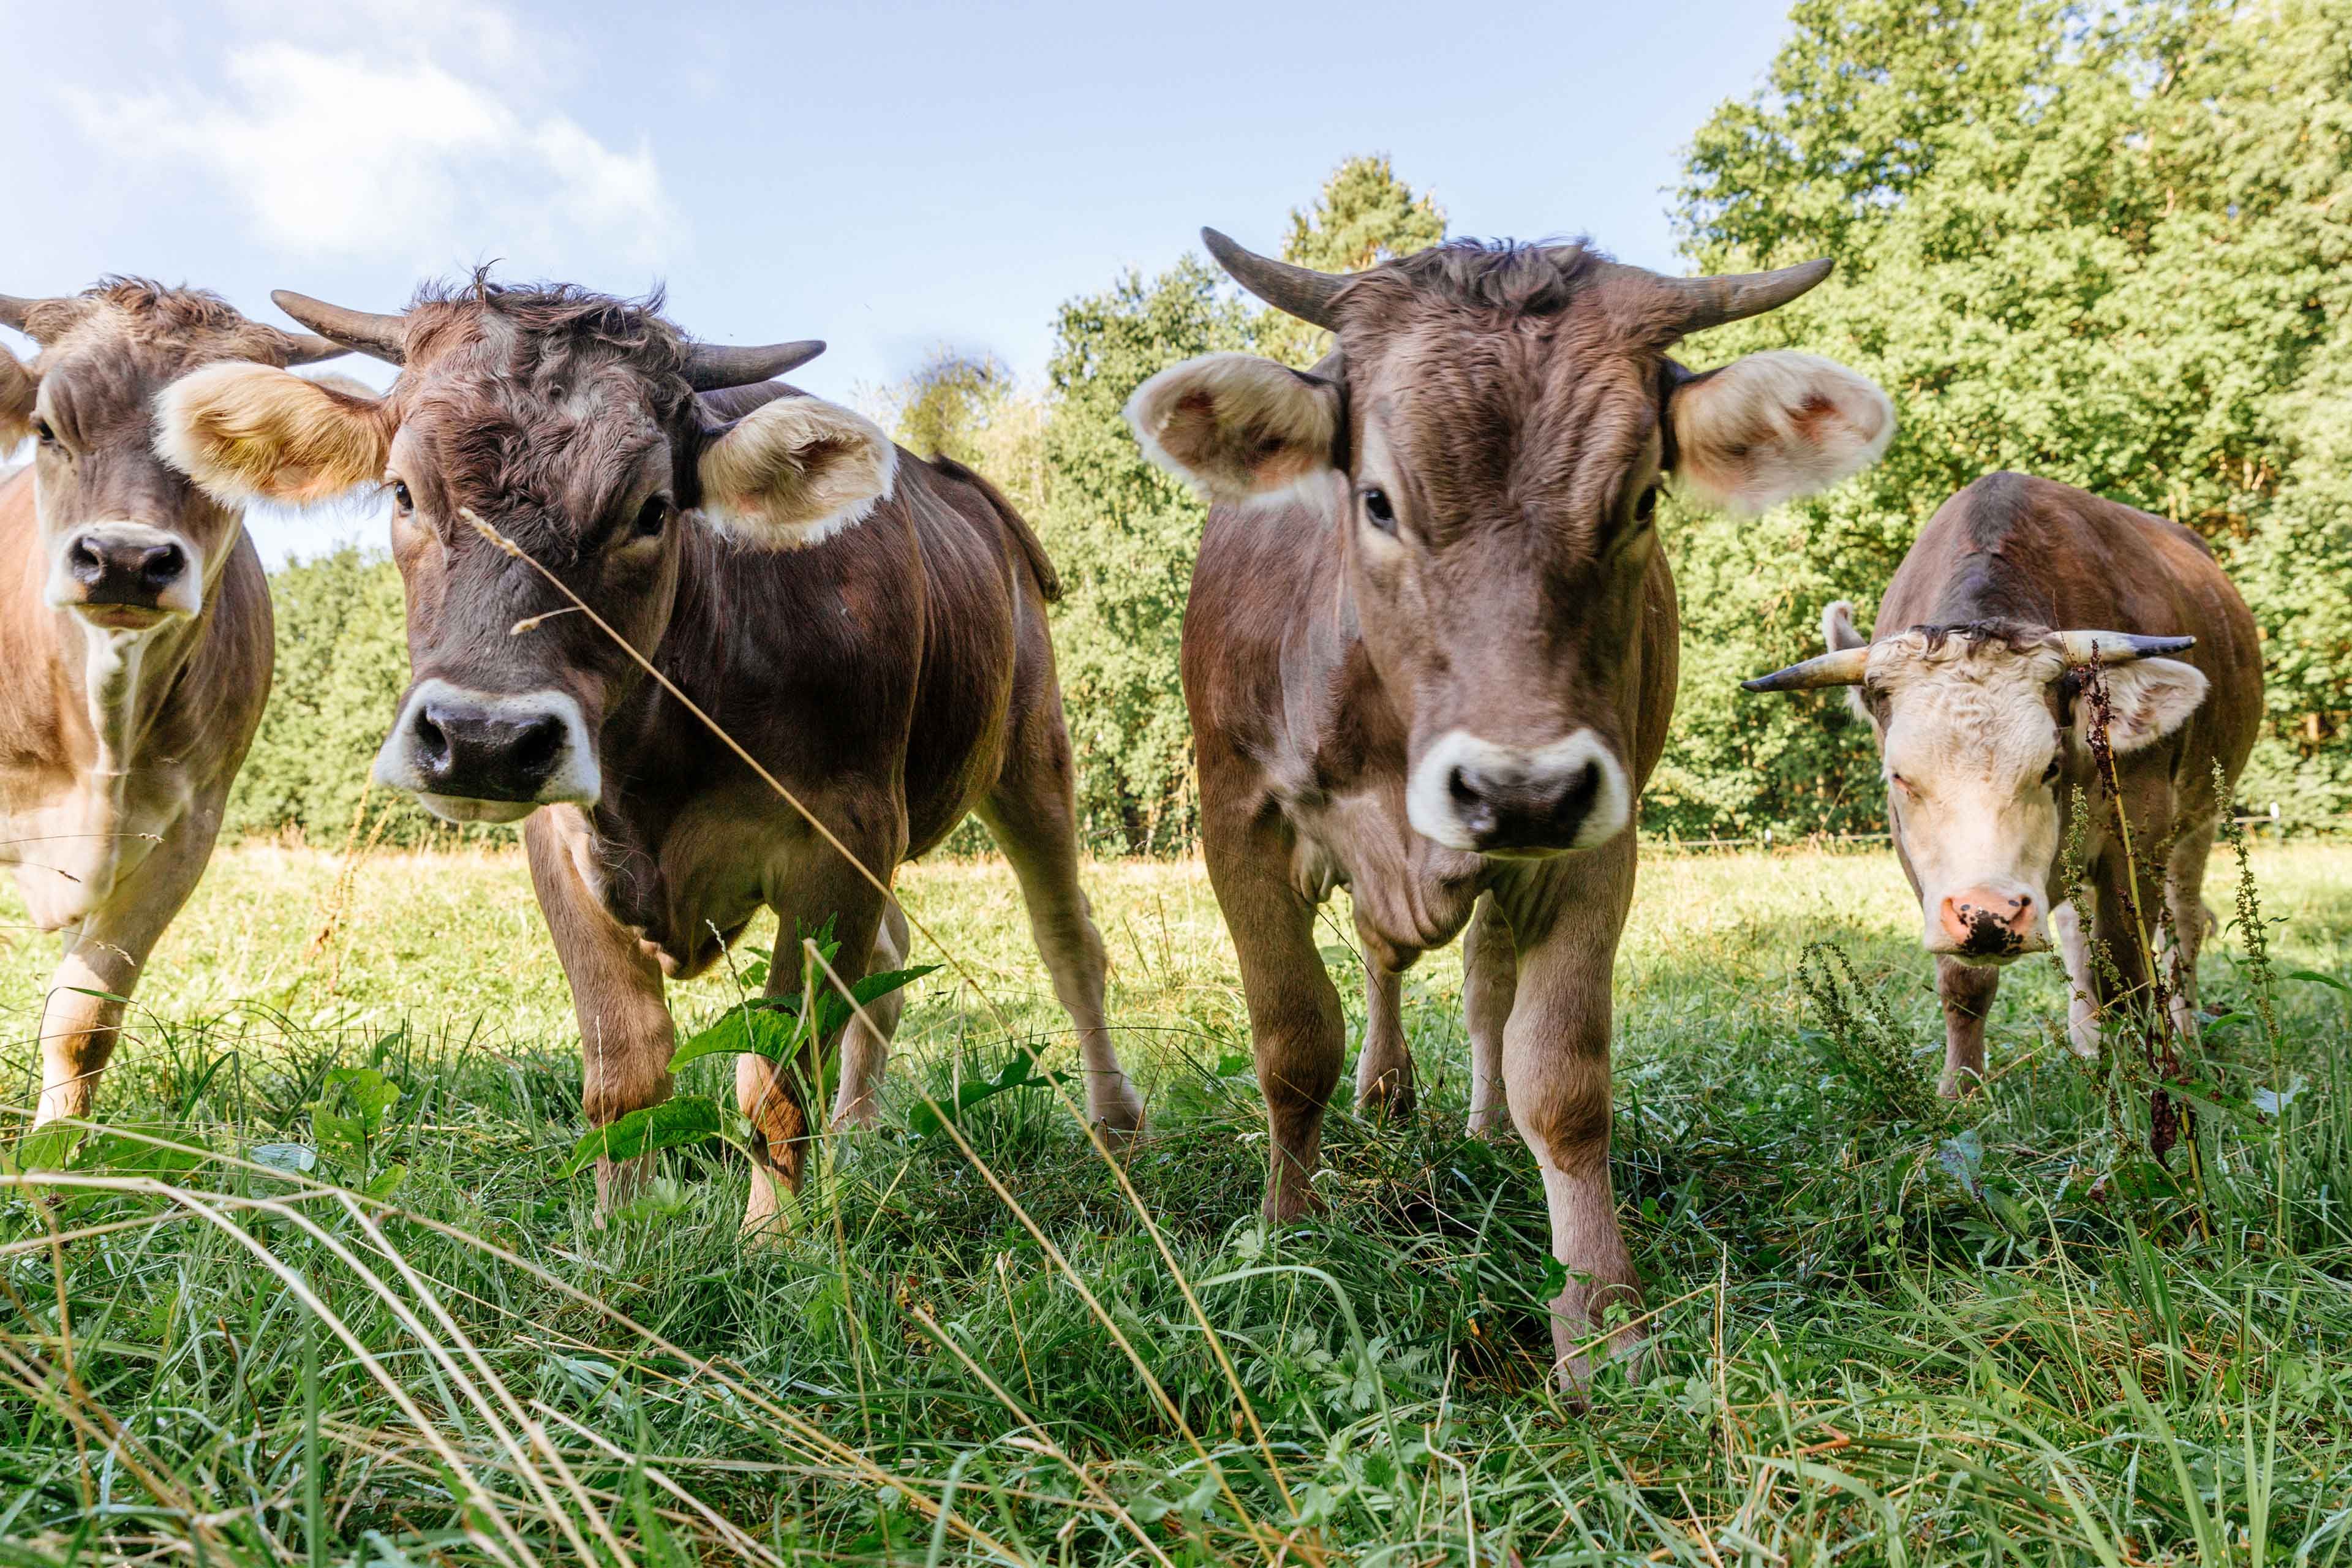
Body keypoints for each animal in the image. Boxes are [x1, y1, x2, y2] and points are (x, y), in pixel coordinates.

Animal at [0, 280, 345, 1124]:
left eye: (227, 451)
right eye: (47, 428)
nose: (124, 559)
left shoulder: (187, 834)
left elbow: (82, 1019)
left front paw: (60, 1144)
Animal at [155, 280, 1143, 1227]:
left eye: (652, 509)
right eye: (402, 491)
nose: (482, 739)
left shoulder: (845, 834)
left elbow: (779, 1074)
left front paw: (770, 1238)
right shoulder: (563, 838)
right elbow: (626, 1068)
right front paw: (618, 1233)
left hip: (1032, 752)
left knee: (1069, 943)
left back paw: (1117, 1127)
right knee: (890, 966)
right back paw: (862, 1135)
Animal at [1124, 231, 1894, 1384]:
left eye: (1642, 502)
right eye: (1378, 501)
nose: (1518, 787)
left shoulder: (1594, 839)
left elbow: (1563, 1080)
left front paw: (1604, 1318)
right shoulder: (1238, 819)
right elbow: (1295, 1042)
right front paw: (1285, 1232)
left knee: (1485, 988)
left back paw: (1480, 1127)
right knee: (1381, 965)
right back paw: (1387, 1094)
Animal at [1743, 472, 2261, 1096]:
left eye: (2051, 766)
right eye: (1900, 777)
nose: (1988, 917)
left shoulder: (2140, 822)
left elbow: (2127, 968)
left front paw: (2142, 1079)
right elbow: (1965, 984)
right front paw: (1961, 1090)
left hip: (2200, 818)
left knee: (2183, 924)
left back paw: (2183, 1035)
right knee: (2077, 933)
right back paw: (2088, 1041)